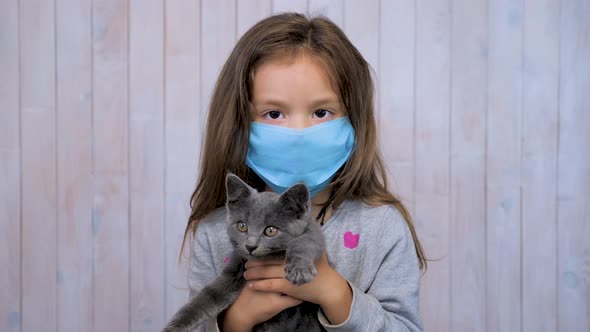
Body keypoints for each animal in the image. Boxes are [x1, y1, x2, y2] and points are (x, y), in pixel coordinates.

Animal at [164, 174, 326, 332]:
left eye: (271, 230)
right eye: (242, 226)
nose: (250, 246)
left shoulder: (313, 232)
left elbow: (303, 243)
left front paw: (299, 270)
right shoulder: (236, 266)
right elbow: (209, 296)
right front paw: (175, 326)